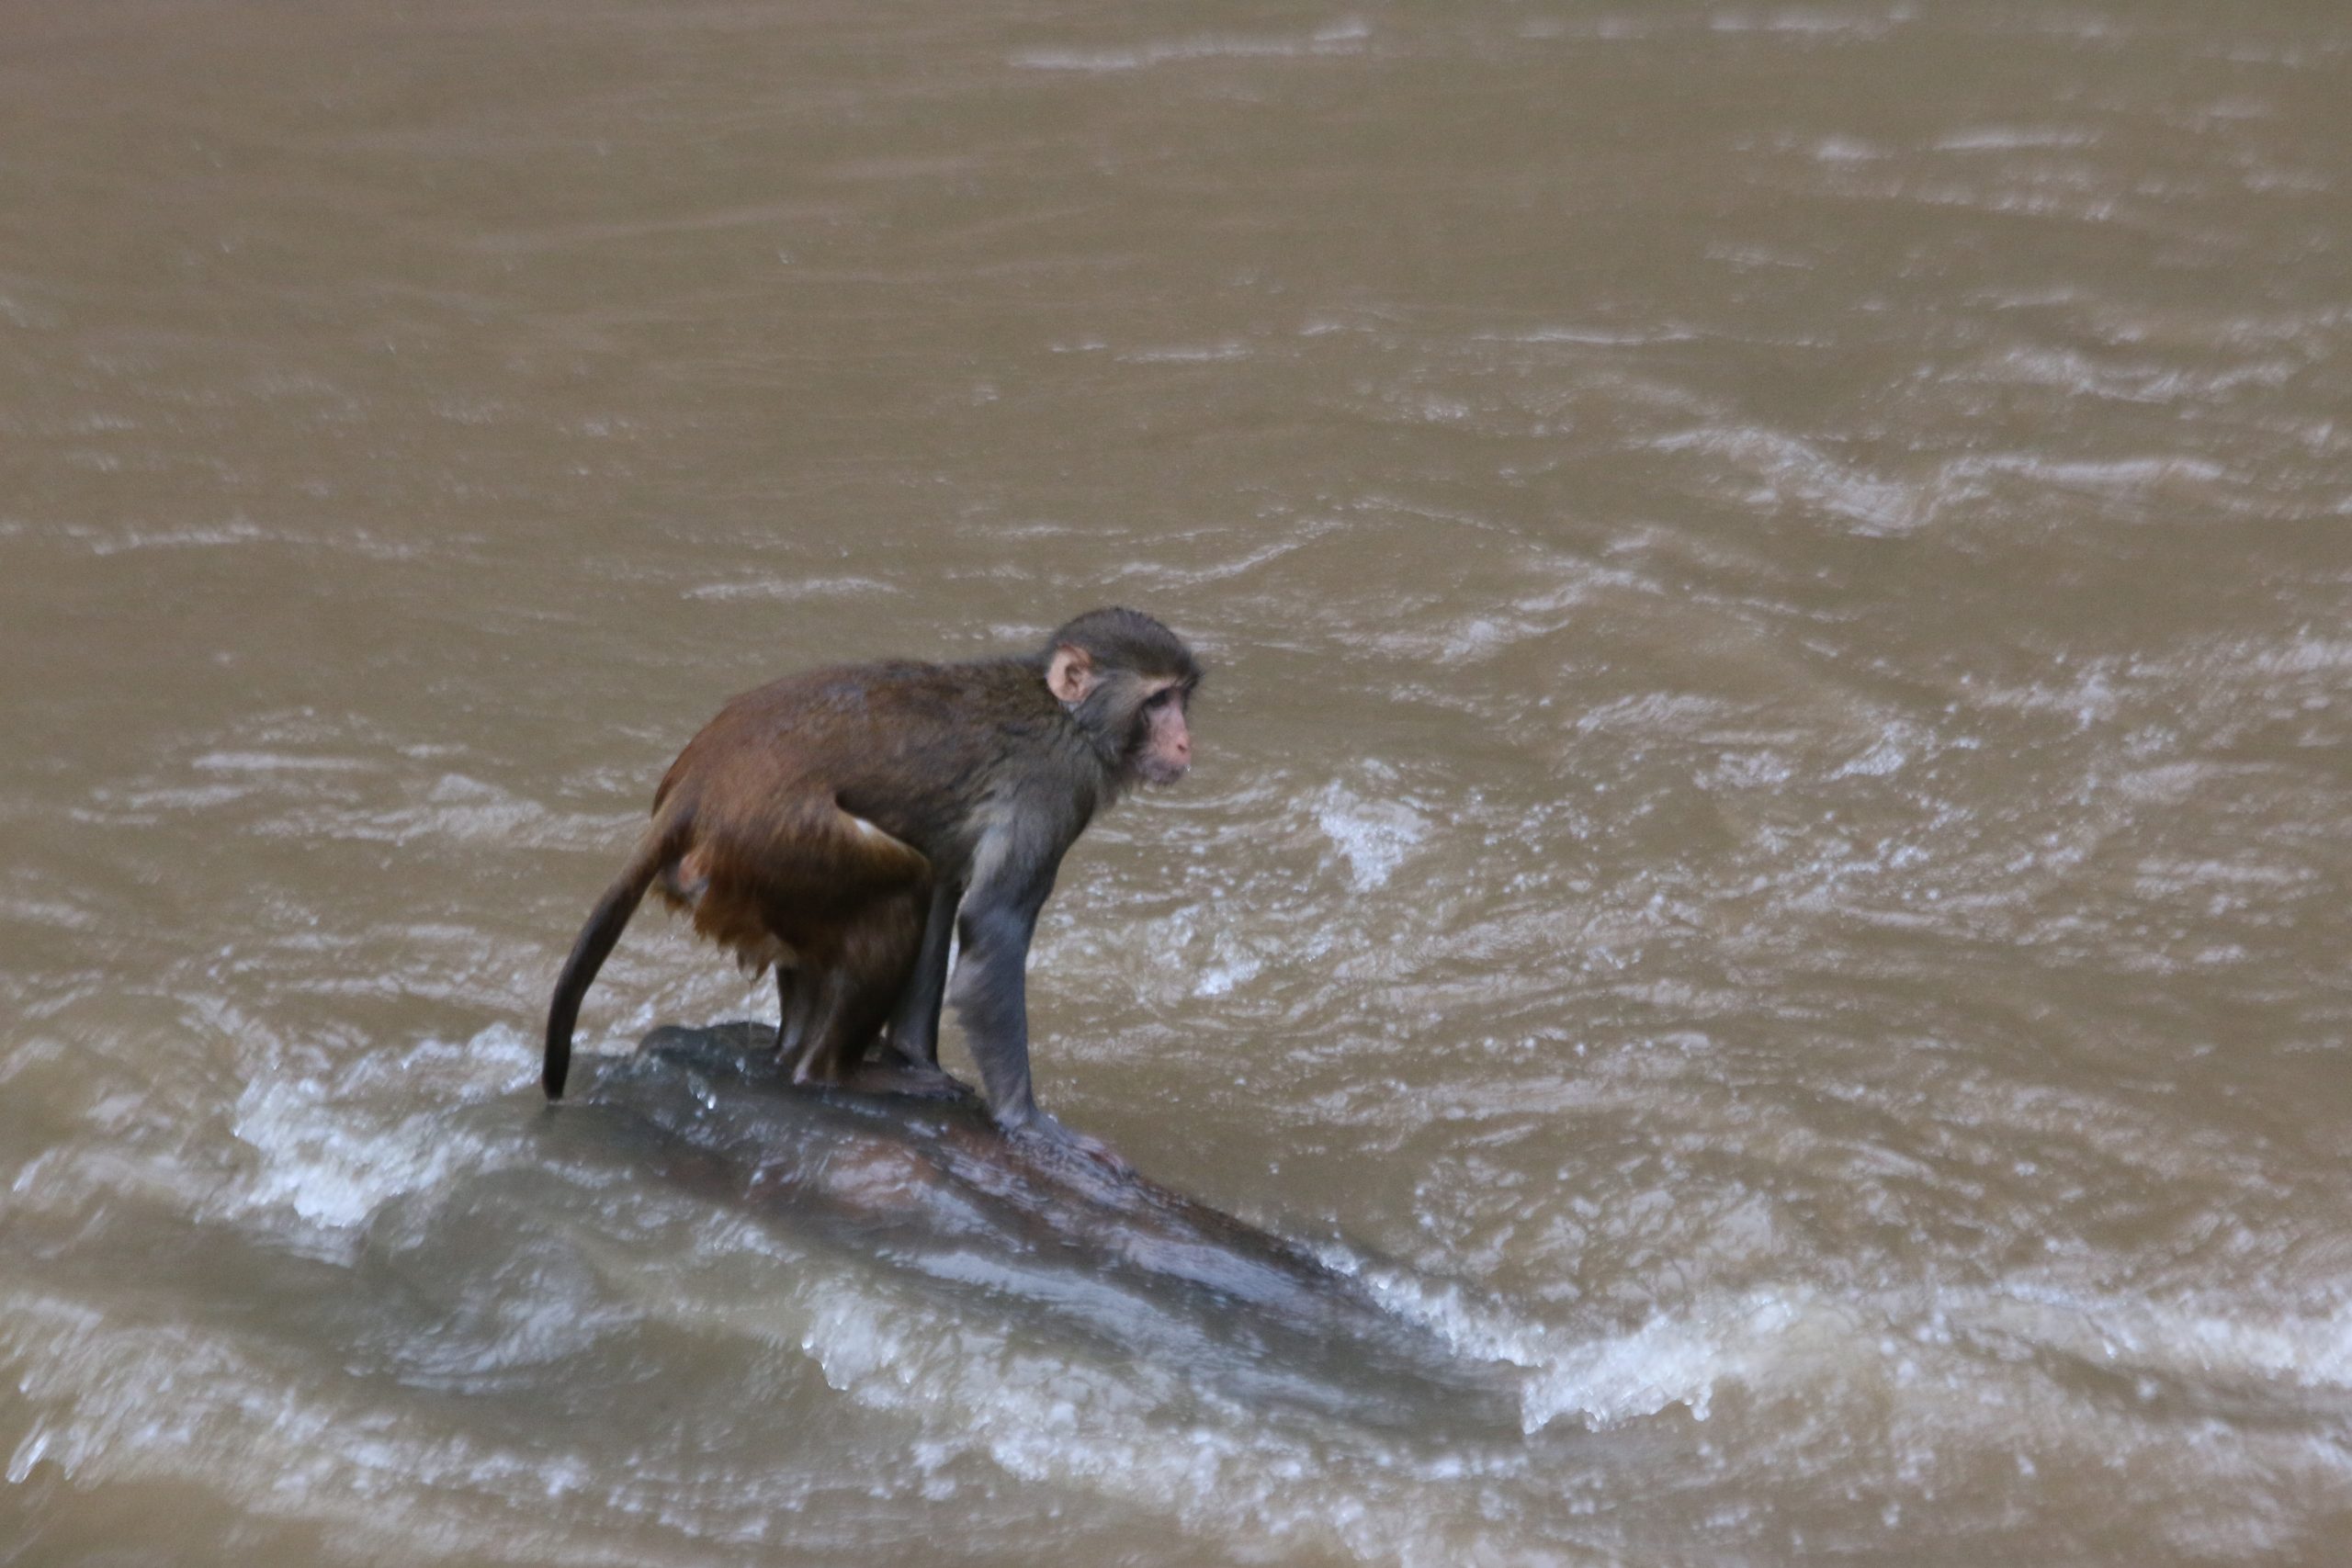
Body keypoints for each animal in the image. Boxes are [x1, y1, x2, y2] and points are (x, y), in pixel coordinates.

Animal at [543, 611, 1204, 1152]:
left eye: (1181, 698)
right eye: (1157, 700)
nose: (1183, 741)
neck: (1068, 716)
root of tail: (692, 790)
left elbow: (949, 891)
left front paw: (916, 1055)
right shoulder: (1054, 785)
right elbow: (992, 927)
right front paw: (1025, 1120)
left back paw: (797, 1052)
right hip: (774, 841)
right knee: (901, 884)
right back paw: (828, 1072)